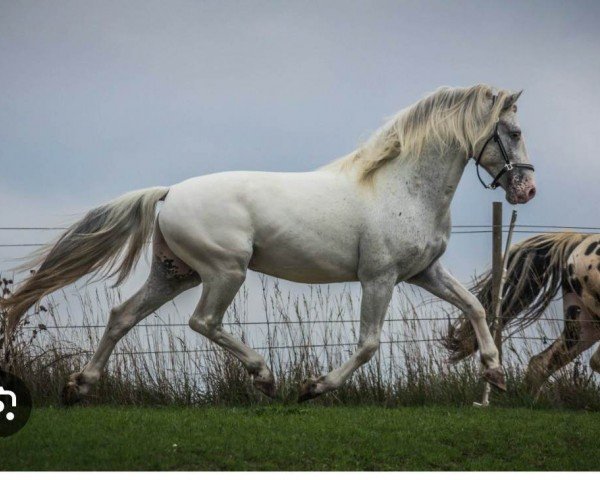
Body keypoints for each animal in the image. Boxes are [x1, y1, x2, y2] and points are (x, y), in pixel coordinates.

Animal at [1, 84, 536, 404]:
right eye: (512, 131)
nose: (526, 189)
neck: (400, 187)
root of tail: (169, 192)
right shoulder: (379, 278)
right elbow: (368, 344)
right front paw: (314, 387)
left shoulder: (424, 272)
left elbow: (475, 306)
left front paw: (494, 373)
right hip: (226, 270)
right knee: (204, 322)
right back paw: (265, 376)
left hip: (175, 273)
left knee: (122, 316)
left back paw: (79, 386)